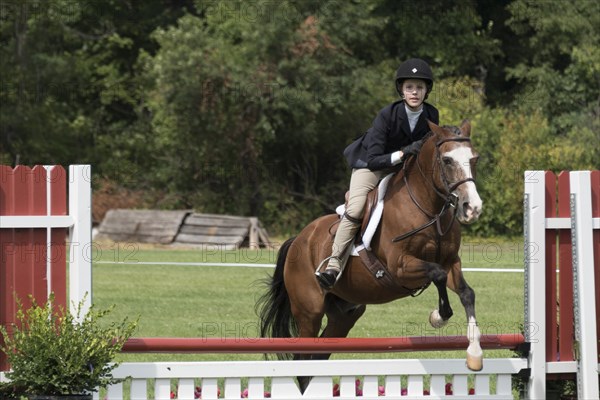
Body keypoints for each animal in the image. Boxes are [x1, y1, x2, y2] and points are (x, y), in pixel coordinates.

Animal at [256, 120, 482, 392]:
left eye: (474, 158)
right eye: (447, 160)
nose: (472, 208)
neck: (429, 209)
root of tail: (298, 240)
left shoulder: (450, 263)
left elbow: (466, 293)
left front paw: (475, 353)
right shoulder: (400, 267)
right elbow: (436, 275)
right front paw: (437, 317)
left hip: (344, 314)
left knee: (318, 355)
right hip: (309, 311)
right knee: (302, 360)